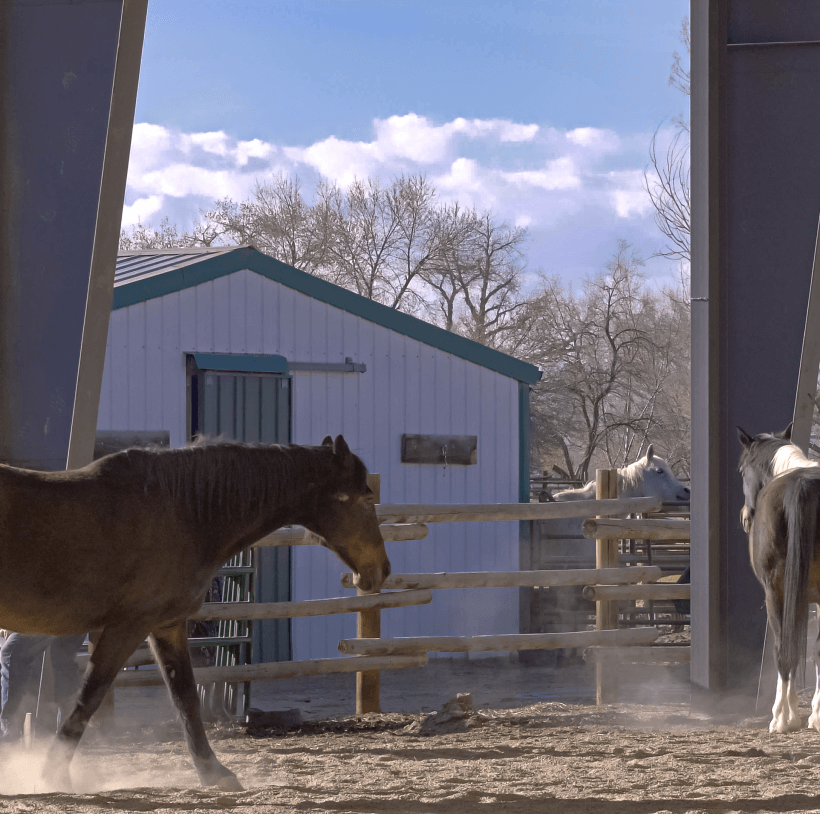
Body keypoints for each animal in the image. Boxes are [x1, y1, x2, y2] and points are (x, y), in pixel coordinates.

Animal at [0, 436, 390, 792]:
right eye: (365, 498)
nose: (382, 570)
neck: (184, 512)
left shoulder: (166, 625)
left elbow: (186, 697)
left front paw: (213, 772)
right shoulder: (128, 625)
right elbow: (90, 696)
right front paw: (52, 773)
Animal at [736, 424, 820, 736]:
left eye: (741, 470)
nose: (745, 517)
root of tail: (801, 486)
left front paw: (789, 714)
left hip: (775, 593)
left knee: (783, 651)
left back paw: (782, 719)